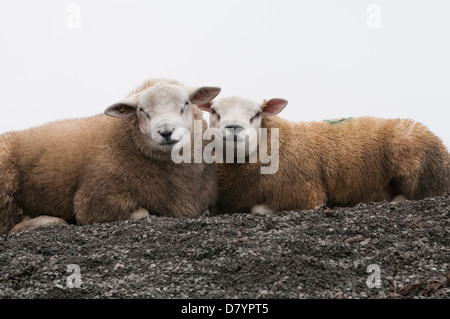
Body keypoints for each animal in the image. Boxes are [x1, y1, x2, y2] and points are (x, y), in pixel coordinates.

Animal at [199, 95, 450, 215]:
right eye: (214, 111)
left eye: (257, 114)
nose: (233, 128)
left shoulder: (306, 194)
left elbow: (258, 209)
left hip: (419, 169)